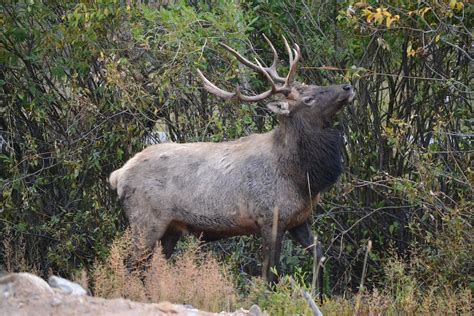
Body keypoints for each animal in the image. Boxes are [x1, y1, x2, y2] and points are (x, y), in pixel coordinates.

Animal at [109, 35, 354, 286]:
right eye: (308, 98)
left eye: (312, 85)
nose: (347, 86)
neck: (302, 178)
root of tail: (117, 175)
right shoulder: (269, 217)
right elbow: (270, 273)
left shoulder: (299, 218)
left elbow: (319, 254)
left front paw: (318, 291)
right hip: (145, 221)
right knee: (131, 267)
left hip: (171, 228)